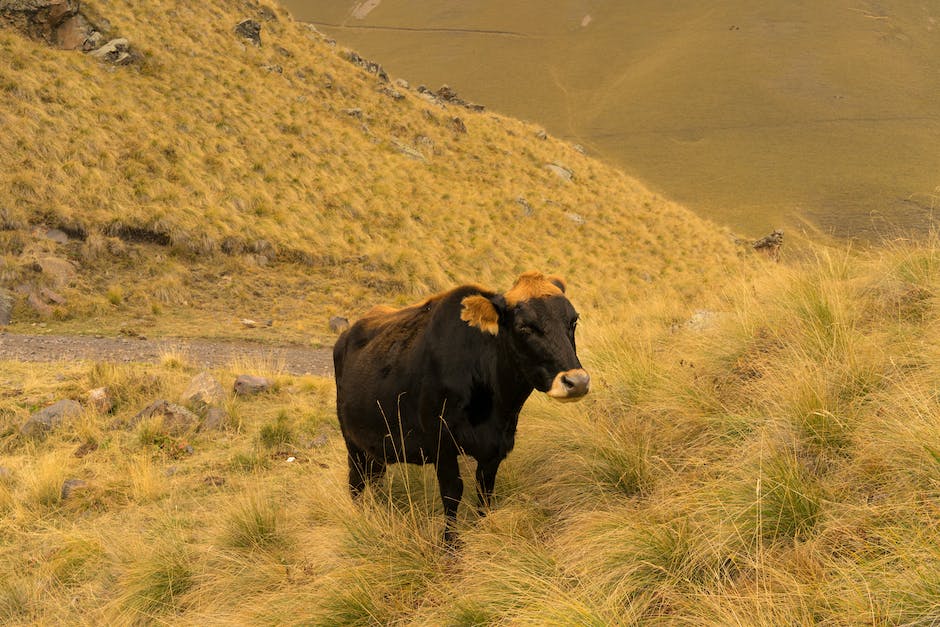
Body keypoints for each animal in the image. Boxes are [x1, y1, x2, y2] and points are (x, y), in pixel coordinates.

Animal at [334, 272, 592, 544]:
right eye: (524, 327)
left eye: (573, 321)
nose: (577, 381)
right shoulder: (441, 442)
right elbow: (452, 492)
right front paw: (450, 544)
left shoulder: (495, 448)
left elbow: (485, 490)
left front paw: (483, 530)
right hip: (352, 442)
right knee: (356, 482)